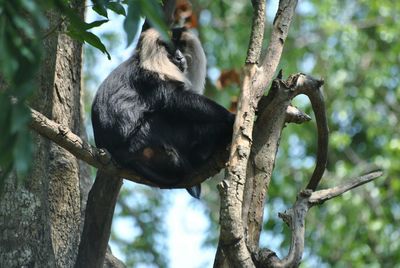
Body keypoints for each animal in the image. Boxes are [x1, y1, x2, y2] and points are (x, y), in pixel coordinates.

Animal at [92, 28, 233, 198]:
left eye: (182, 46)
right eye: (170, 48)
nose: (180, 57)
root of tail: (119, 153)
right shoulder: (148, 77)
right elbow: (175, 100)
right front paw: (232, 118)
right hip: (147, 136)